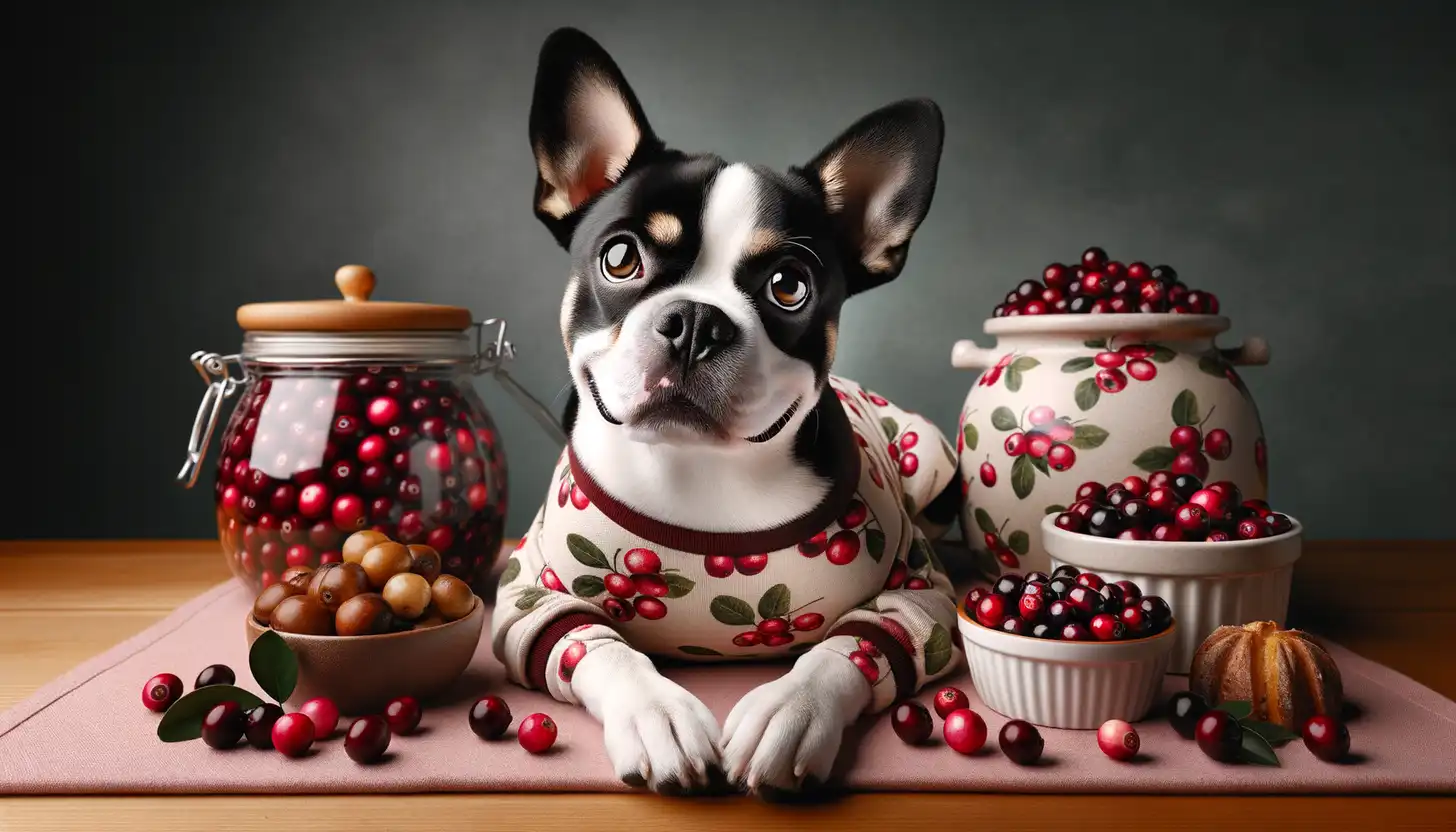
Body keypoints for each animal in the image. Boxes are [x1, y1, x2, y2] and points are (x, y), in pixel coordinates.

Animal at [495, 26, 960, 792]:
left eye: (789, 286)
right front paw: (656, 715)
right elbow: (597, 644)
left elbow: (848, 649)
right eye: (619, 258)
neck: (699, 472)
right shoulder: (527, 595)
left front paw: (789, 712)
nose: (694, 321)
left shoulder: (920, 599)